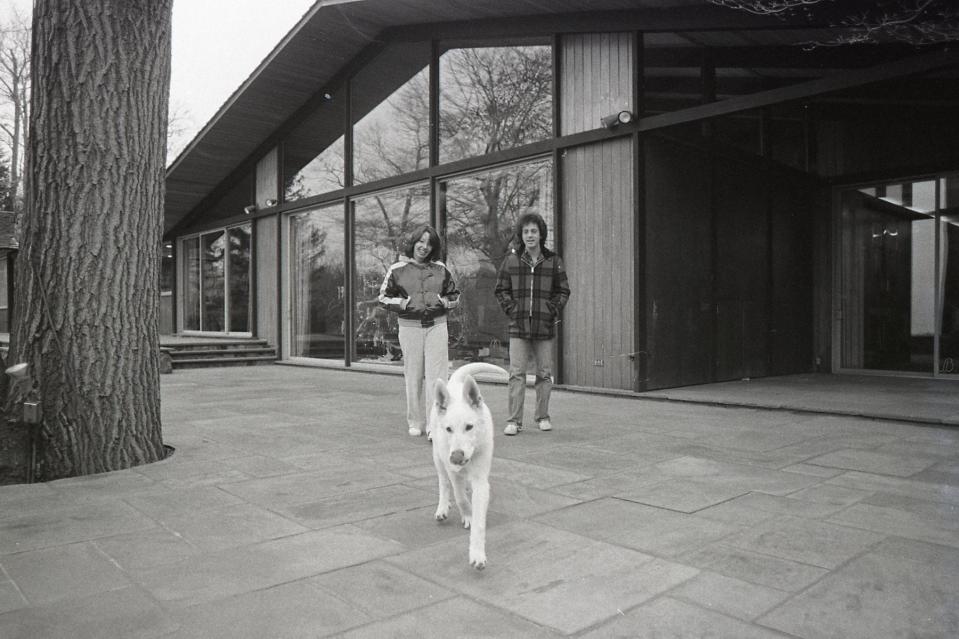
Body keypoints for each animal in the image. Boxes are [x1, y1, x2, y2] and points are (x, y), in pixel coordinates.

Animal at [432, 362, 510, 572]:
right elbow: (459, 497)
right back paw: (443, 506)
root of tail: (456, 382)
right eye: (449, 429)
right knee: (444, 483)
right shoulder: (453, 471)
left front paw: (477, 554)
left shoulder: (481, 481)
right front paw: (467, 514)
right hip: (438, 457)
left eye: (469, 427)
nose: (456, 457)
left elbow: (479, 521)